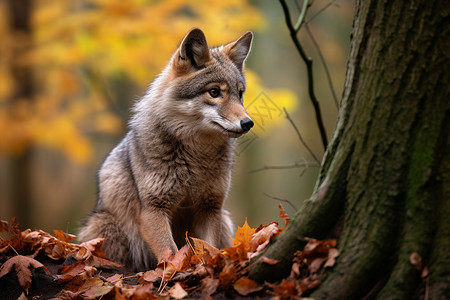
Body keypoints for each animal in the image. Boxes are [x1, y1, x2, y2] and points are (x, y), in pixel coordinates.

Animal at [79, 28, 255, 272]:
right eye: (214, 92)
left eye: (240, 94)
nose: (248, 123)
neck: (195, 156)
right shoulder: (154, 209)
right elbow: (170, 252)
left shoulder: (210, 208)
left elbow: (208, 248)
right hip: (106, 226)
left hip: (225, 219)